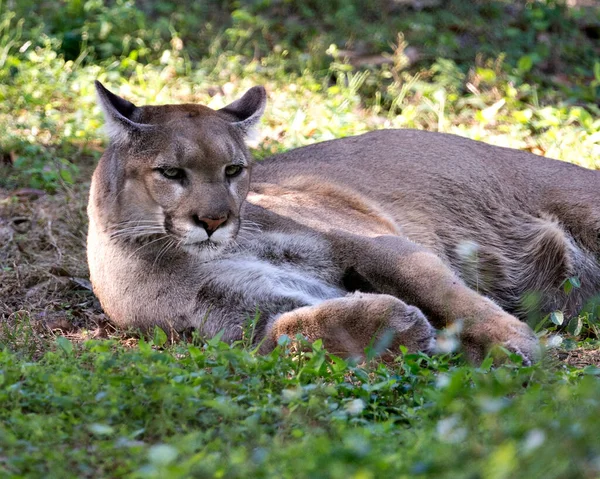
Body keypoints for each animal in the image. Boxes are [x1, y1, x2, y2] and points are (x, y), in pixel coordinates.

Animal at [85, 82, 600, 364]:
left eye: (233, 170)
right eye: (171, 173)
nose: (214, 220)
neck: (181, 257)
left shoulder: (374, 243)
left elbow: (450, 295)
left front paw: (515, 343)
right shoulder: (242, 319)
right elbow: (294, 331)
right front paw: (394, 326)